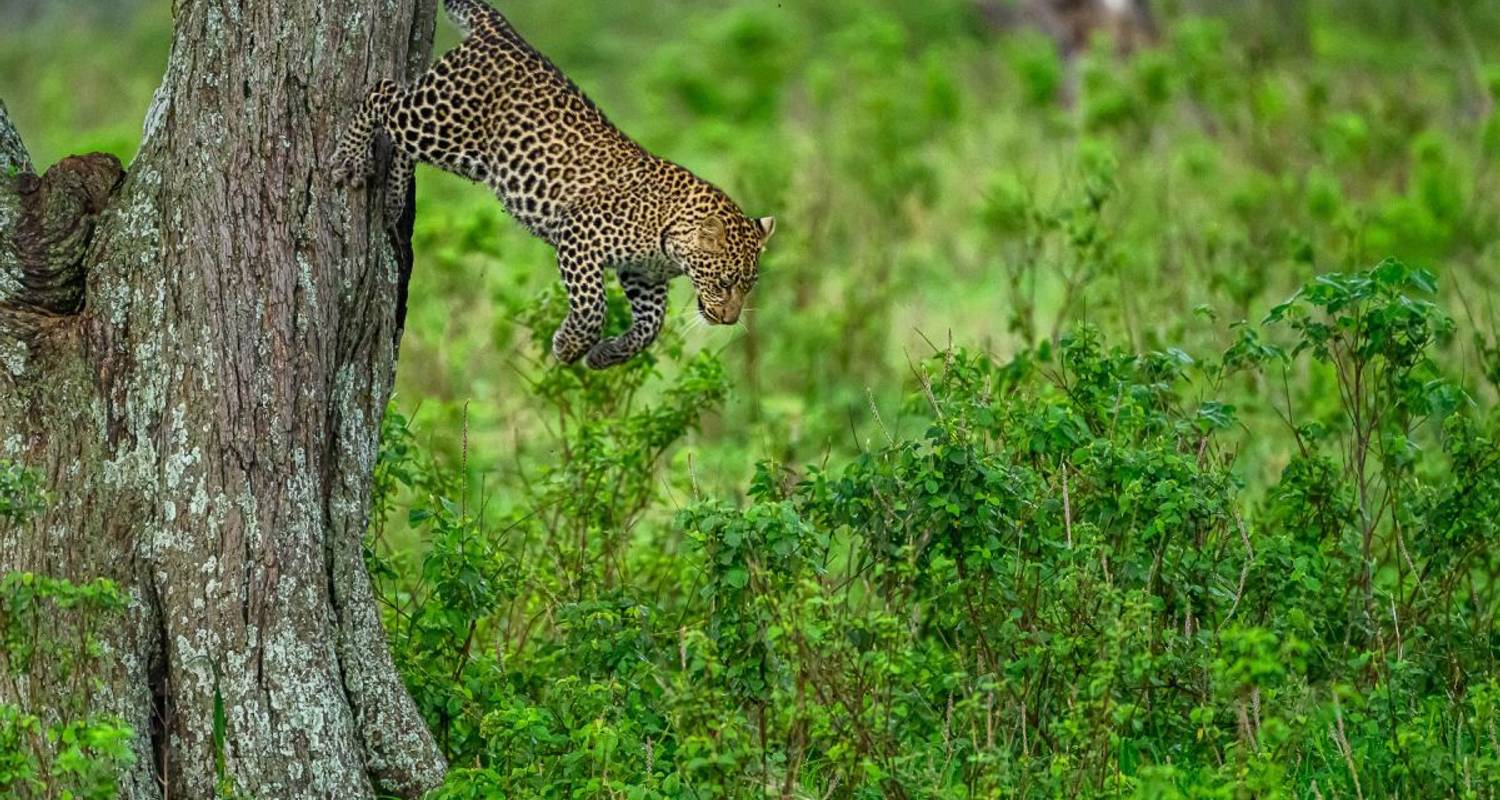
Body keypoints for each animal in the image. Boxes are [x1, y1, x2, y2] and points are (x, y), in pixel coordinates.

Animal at [328, 0, 774, 367]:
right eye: (724, 283)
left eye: (748, 286)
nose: (729, 319)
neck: (670, 243)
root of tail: (499, 31)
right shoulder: (580, 234)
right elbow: (593, 306)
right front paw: (570, 346)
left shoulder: (643, 276)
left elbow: (650, 326)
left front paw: (607, 355)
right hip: (438, 122)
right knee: (381, 93)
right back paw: (348, 160)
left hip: (465, 154)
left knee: (401, 141)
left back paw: (393, 198)